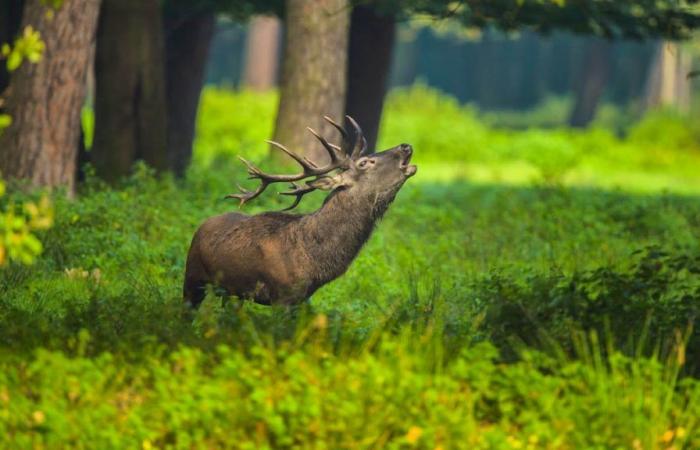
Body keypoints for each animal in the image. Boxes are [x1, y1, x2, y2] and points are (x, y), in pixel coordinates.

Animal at [183, 114, 418, 308]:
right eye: (365, 162)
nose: (405, 146)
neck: (313, 260)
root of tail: (202, 225)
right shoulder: (283, 296)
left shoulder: (303, 298)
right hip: (193, 276)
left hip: (232, 292)